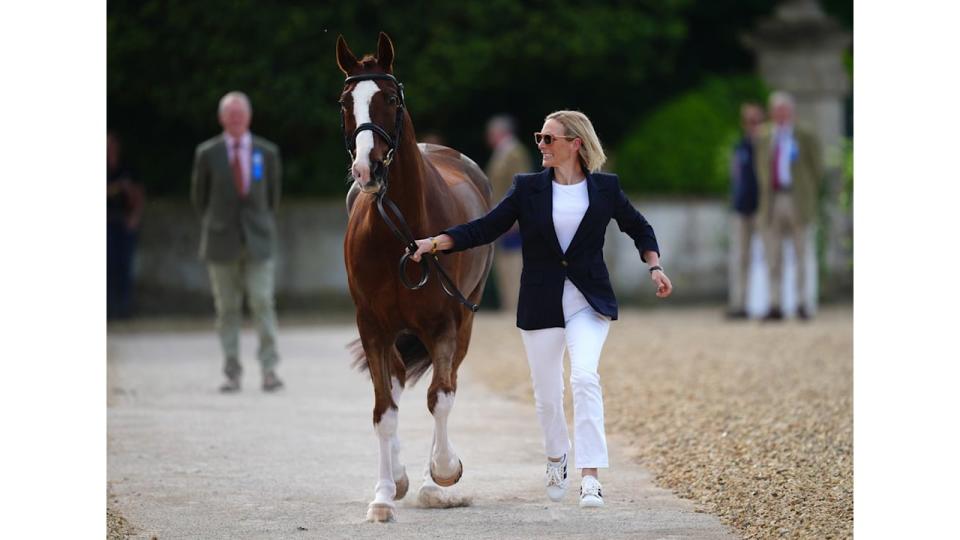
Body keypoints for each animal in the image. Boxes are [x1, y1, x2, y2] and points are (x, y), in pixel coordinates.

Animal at [338, 33, 492, 524]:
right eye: (345, 101)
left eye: (389, 98)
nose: (366, 169)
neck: (399, 235)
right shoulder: (372, 326)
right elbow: (383, 408)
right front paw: (385, 494)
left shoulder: (444, 324)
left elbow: (440, 397)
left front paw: (443, 473)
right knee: (399, 380)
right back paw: (400, 477)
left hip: (465, 320)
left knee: (446, 384)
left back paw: (430, 481)